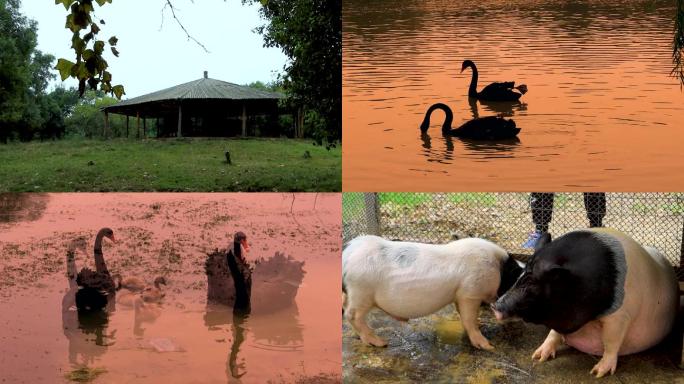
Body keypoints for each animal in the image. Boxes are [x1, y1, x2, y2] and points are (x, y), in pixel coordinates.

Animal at [342, 234, 524, 352]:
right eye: (514, 282)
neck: (497, 268)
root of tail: (347, 255)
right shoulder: (470, 293)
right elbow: (469, 318)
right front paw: (488, 346)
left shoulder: (460, 296)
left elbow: (465, 316)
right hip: (361, 291)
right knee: (352, 314)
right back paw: (381, 343)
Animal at [492, 228, 680, 378]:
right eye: (521, 274)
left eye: (531, 282)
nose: (495, 306)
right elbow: (553, 333)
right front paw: (537, 357)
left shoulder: (620, 316)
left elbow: (611, 342)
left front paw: (597, 373)